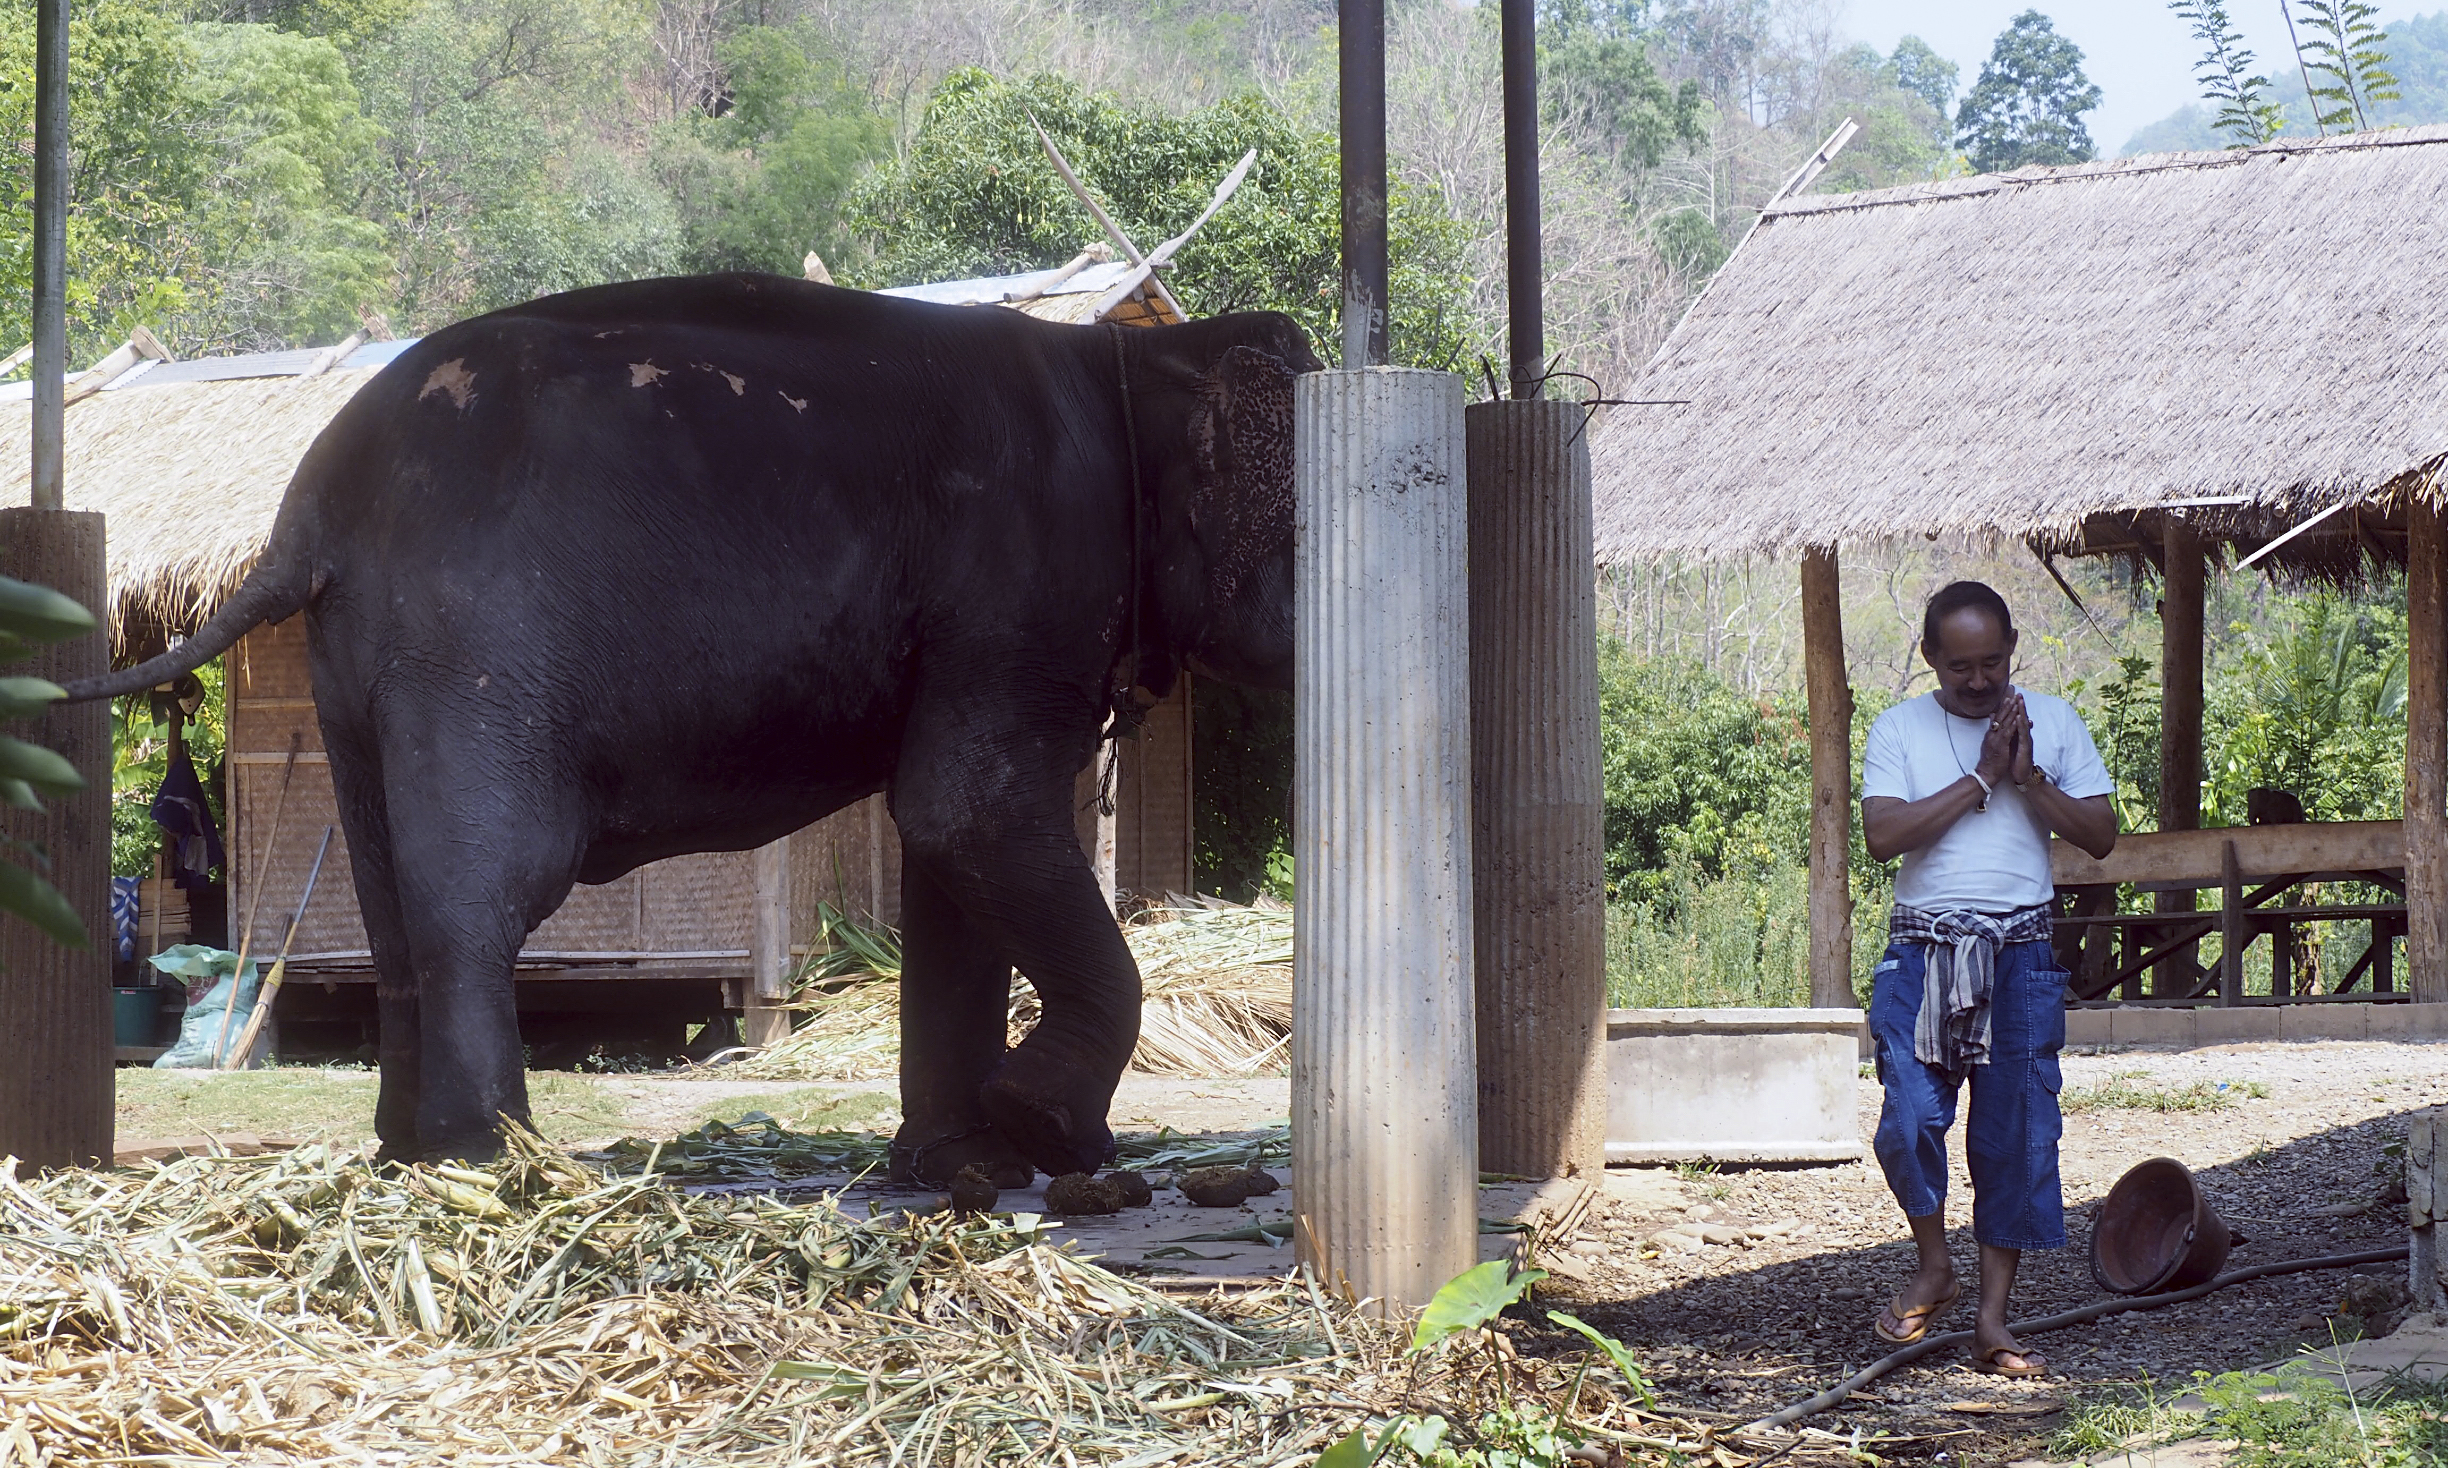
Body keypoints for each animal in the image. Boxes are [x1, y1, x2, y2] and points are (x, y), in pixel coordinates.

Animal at [71, 275, 1321, 1189]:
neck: (1128, 367)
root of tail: (303, 517)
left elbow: (943, 848)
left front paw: (960, 1165)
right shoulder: (1026, 584)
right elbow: (968, 813)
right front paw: (1051, 1132)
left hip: (354, 678)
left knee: (387, 901)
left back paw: (409, 1154)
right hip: (474, 653)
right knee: (482, 893)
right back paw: (503, 1161)